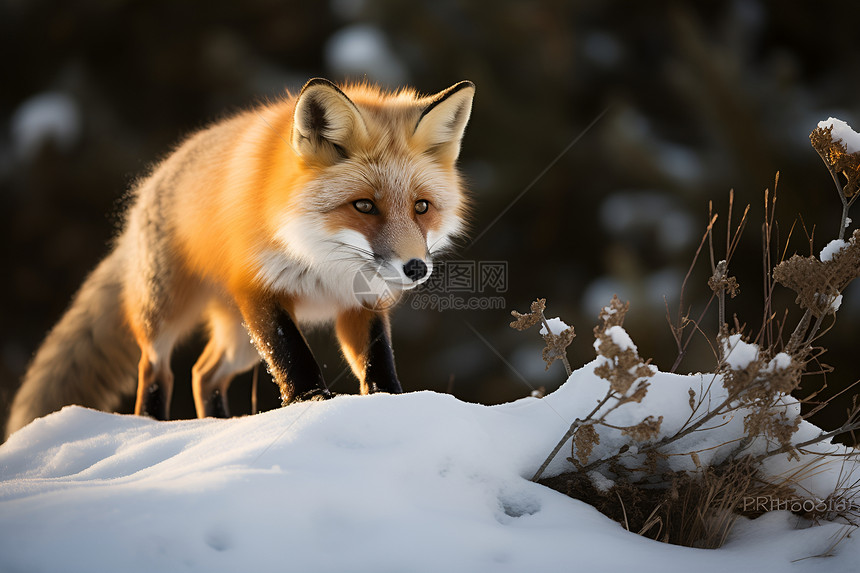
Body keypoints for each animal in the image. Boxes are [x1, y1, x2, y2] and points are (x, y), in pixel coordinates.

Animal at [5, 78, 478, 436]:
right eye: (364, 206)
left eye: (421, 207)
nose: (415, 268)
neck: (324, 262)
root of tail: (158, 174)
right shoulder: (259, 289)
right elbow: (294, 359)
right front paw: (311, 405)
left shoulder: (361, 303)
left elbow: (379, 365)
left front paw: (393, 409)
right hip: (168, 312)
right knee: (156, 368)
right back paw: (151, 425)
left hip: (239, 341)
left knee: (202, 373)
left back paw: (219, 426)